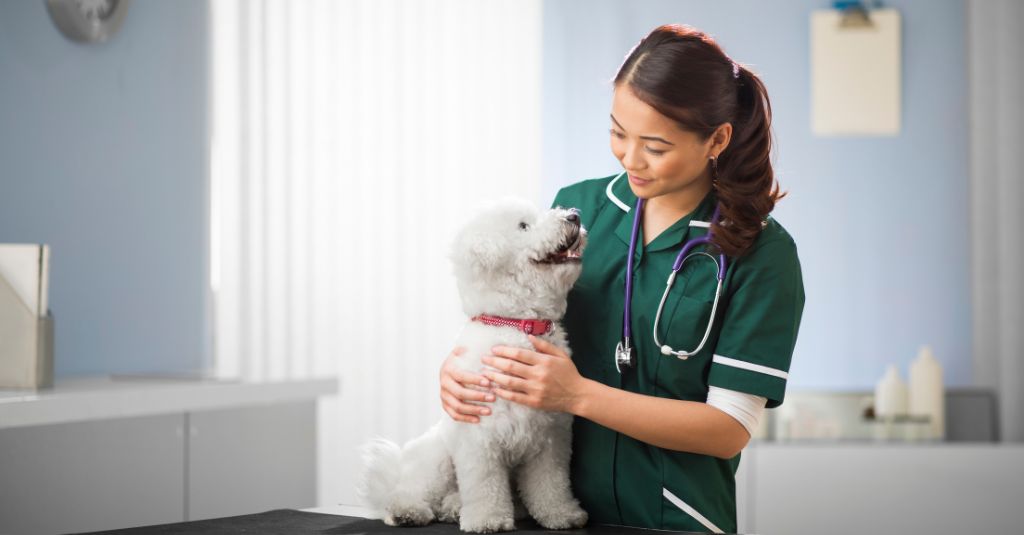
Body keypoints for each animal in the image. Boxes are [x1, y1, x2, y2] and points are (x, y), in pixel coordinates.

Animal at [358, 197, 589, 528]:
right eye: (523, 225)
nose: (574, 217)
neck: (516, 324)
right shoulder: (479, 438)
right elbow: (484, 485)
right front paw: (487, 519)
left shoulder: (550, 441)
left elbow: (552, 484)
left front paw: (562, 514)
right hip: (438, 459)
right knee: (410, 491)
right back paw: (407, 510)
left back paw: (454, 508)